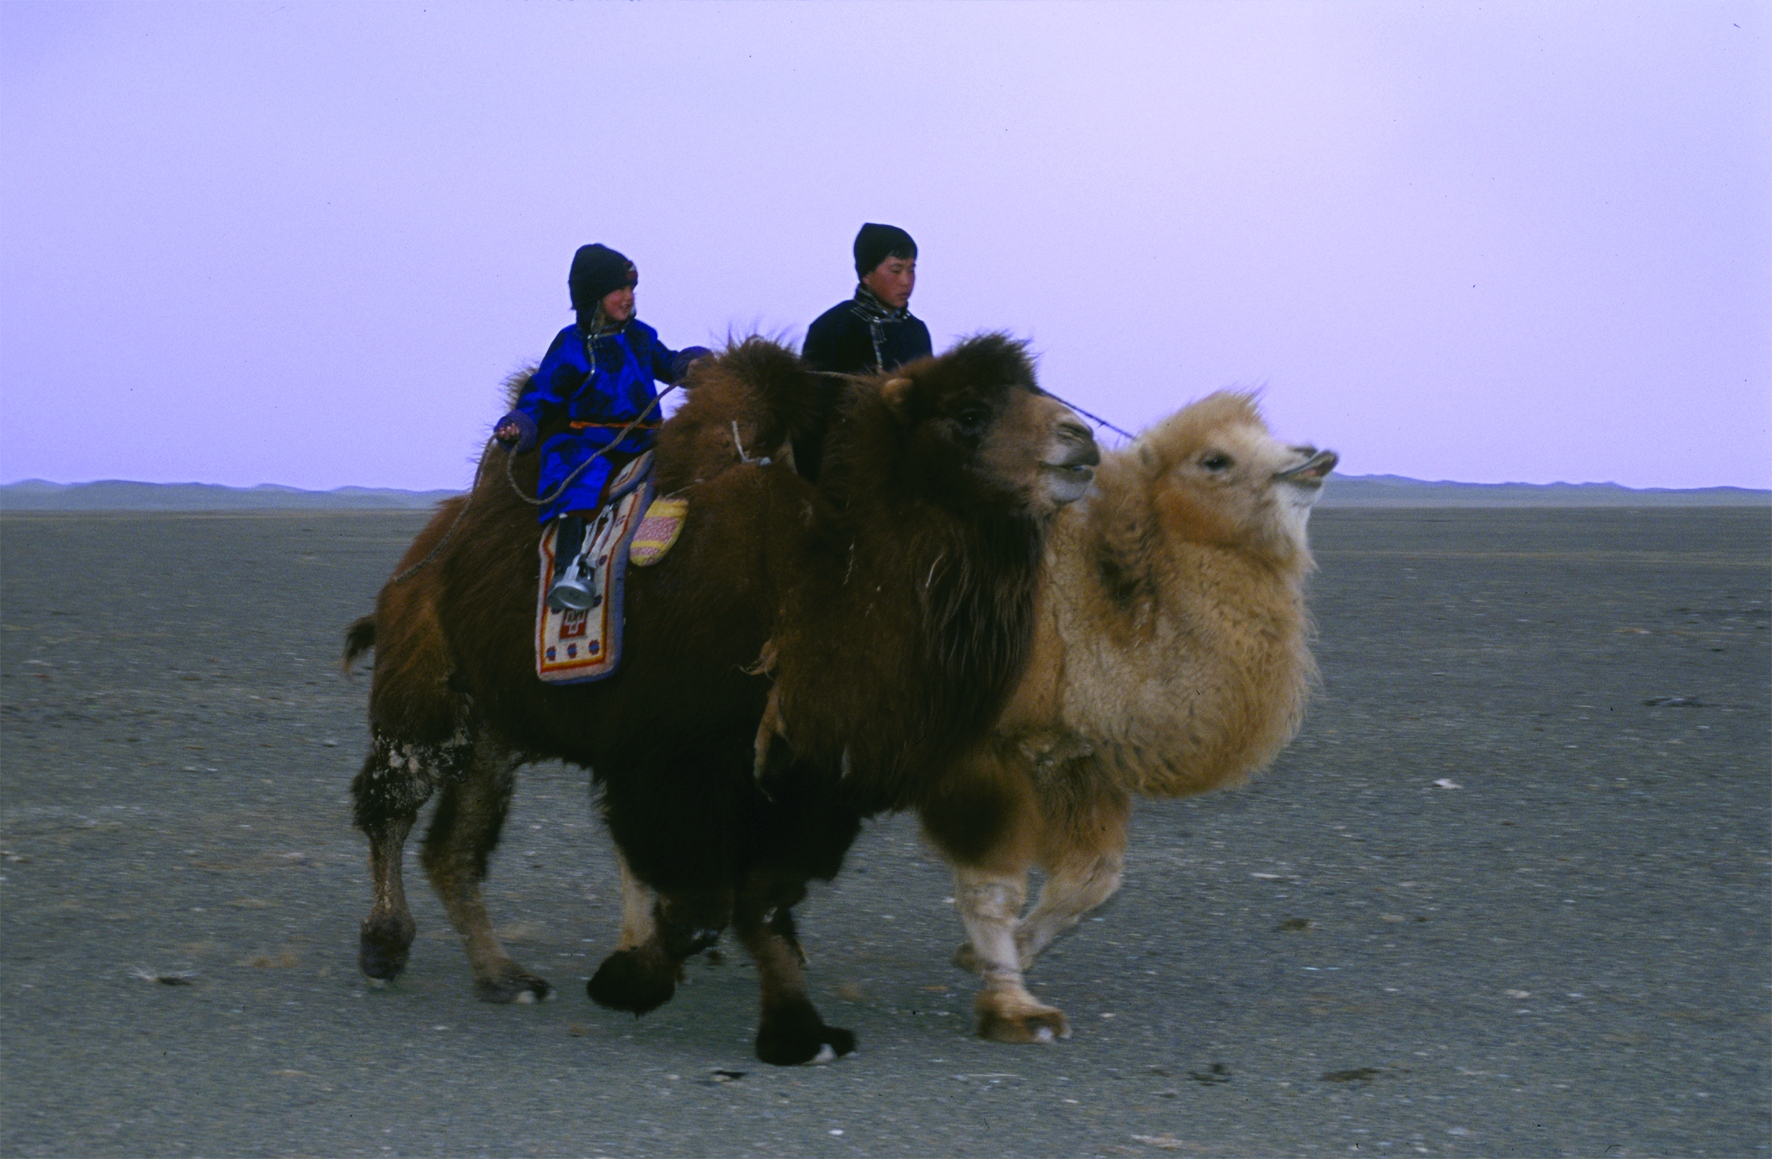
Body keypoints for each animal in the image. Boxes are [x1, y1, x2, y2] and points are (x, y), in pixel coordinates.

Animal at [341, 333, 1091, 1063]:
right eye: (968, 414)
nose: (1081, 440)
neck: (813, 587)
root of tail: (425, 556)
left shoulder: (800, 780)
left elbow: (763, 898)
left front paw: (798, 1032)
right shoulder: (676, 762)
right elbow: (704, 902)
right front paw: (632, 977)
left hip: (496, 729)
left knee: (453, 847)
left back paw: (503, 976)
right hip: (426, 699)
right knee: (390, 806)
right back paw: (385, 947)